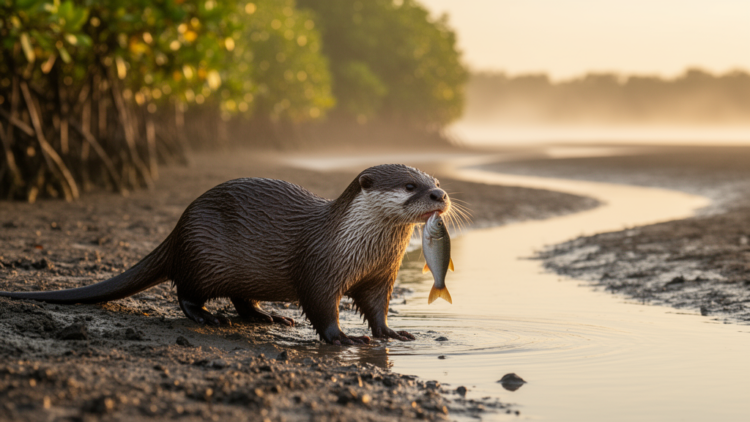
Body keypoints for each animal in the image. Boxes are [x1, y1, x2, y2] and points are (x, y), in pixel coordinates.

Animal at [0, 164, 451, 345]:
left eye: (434, 180)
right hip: (202, 254)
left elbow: (376, 308)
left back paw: (268, 316)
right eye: (410, 185)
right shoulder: (319, 267)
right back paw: (209, 317)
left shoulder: (380, 275)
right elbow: (322, 306)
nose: (441, 194)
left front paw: (391, 332)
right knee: (185, 292)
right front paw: (343, 338)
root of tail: (179, 227)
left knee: (241, 297)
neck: (355, 246)